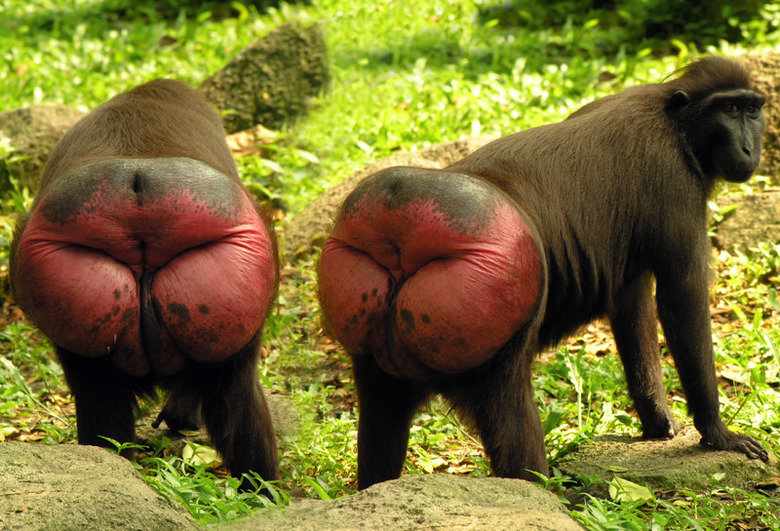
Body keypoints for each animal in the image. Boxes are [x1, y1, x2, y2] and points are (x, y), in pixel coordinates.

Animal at [317, 57, 769, 489]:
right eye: (729, 110)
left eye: (752, 110)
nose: (750, 148)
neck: (673, 119)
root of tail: (400, 223)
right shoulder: (675, 182)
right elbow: (681, 297)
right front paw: (717, 433)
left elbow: (632, 305)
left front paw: (657, 421)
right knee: (511, 412)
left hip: (378, 354)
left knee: (383, 412)